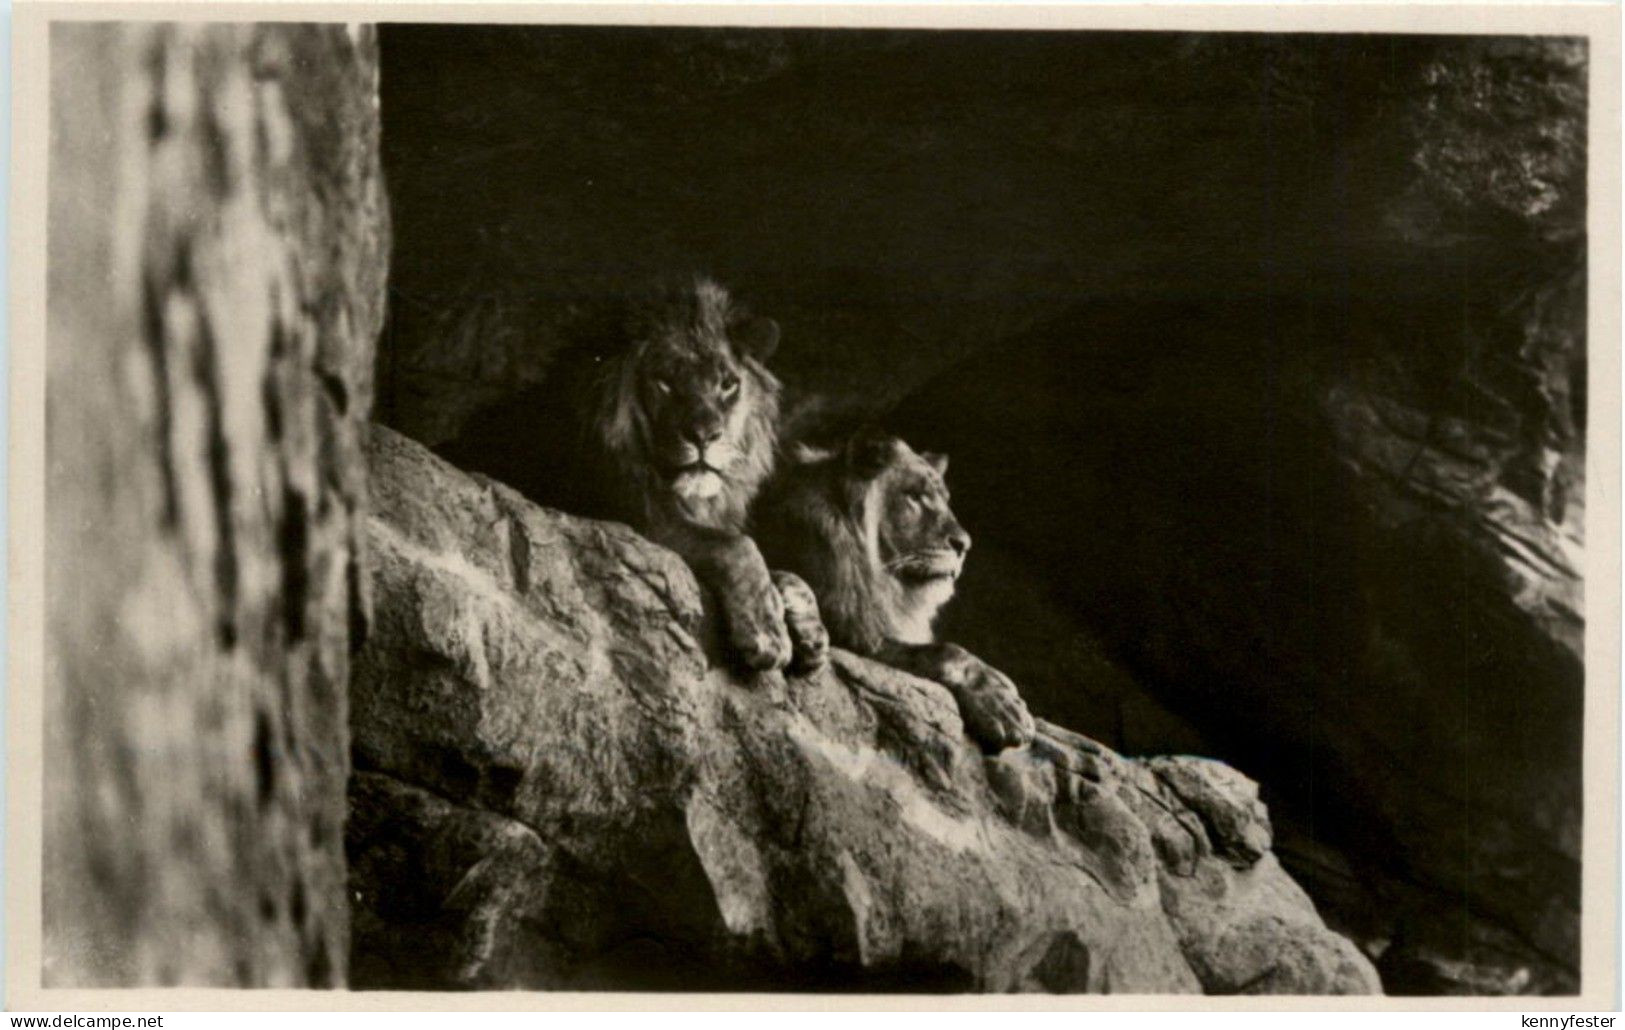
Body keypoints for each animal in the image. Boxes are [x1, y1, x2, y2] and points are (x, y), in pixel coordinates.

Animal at [438, 275, 827, 675]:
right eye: (665, 381)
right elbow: (738, 546)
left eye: (728, 383)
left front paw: (810, 630)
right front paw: (768, 634)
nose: (704, 435)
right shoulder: (637, 520)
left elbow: (788, 573)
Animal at [756, 427, 1036, 752]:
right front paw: (1004, 704)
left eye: (945, 501)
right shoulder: (858, 636)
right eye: (914, 497)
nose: (964, 544)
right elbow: (947, 652)